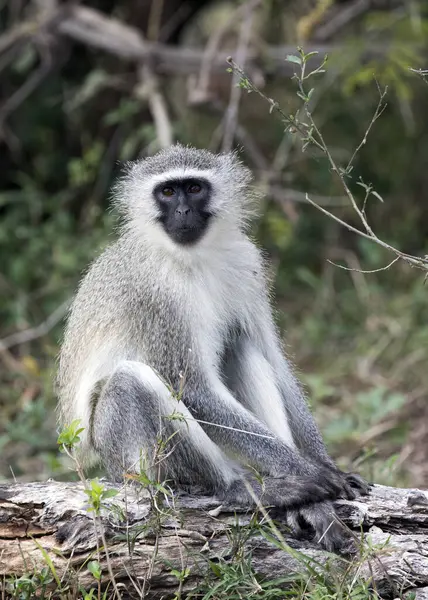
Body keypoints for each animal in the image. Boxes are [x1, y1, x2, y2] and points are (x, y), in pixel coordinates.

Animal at [58, 145, 370, 552]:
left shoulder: (248, 264)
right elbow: (191, 388)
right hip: (134, 462)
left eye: (194, 188)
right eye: (167, 193)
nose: (183, 212)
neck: (191, 257)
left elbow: (274, 360)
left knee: (241, 346)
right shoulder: (153, 295)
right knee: (130, 382)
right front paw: (309, 472)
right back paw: (241, 488)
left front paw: (327, 466)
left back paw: (308, 507)